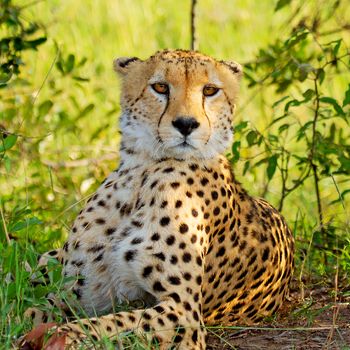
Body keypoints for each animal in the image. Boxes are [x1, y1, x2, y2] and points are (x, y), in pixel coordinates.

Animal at [23, 50, 294, 350]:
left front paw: (64, 335)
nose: (186, 124)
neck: (142, 173)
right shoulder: (80, 288)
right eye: (161, 87)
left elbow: (110, 325)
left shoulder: (184, 313)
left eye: (210, 90)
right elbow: (32, 309)